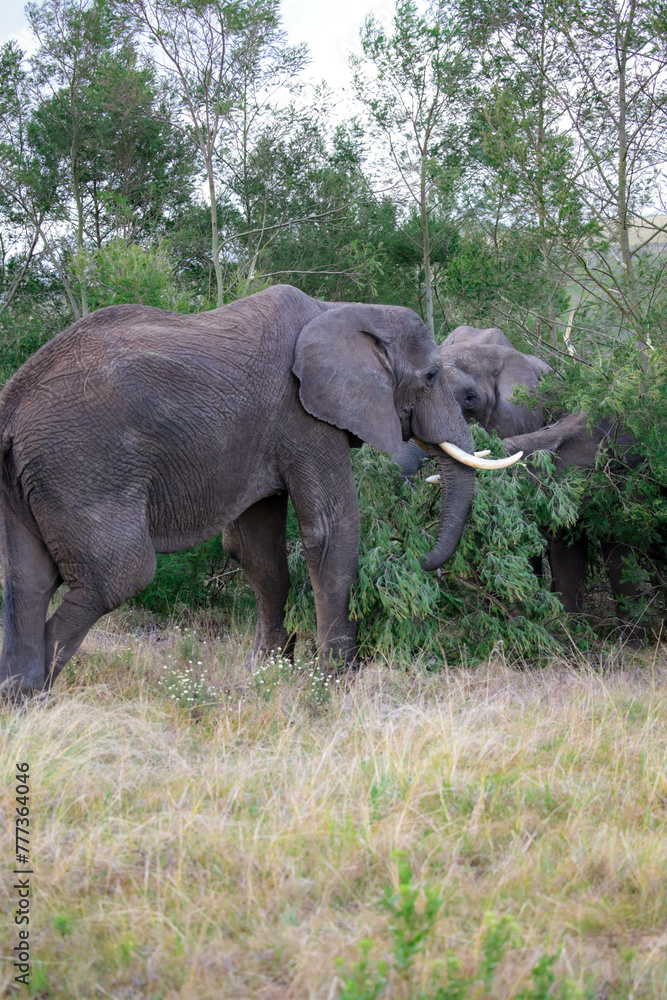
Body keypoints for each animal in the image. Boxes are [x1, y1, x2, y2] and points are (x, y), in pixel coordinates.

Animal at [0, 284, 520, 697]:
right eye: (431, 377)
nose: (422, 561)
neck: (342, 309)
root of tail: (12, 406)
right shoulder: (302, 416)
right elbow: (330, 531)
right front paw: (337, 680)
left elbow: (257, 553)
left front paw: (268, 670)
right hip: (80, 468)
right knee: (118, 575)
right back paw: (38, 691)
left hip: (28, 478)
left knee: (28, 580)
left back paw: (19, 696)